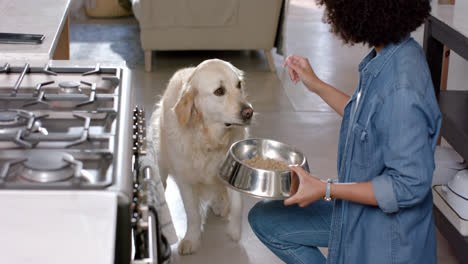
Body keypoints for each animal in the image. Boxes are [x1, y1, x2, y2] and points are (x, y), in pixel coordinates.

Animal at [149, 59, 252, 254]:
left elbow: (237, 204)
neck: (210, 140)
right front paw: (192, 239)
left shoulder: (232, 169)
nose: (249, 112)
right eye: (219, 91)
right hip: (162, 159)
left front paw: (234, 231)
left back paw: (220, 204)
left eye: (239, 85)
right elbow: (192, 213)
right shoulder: (185, 180)